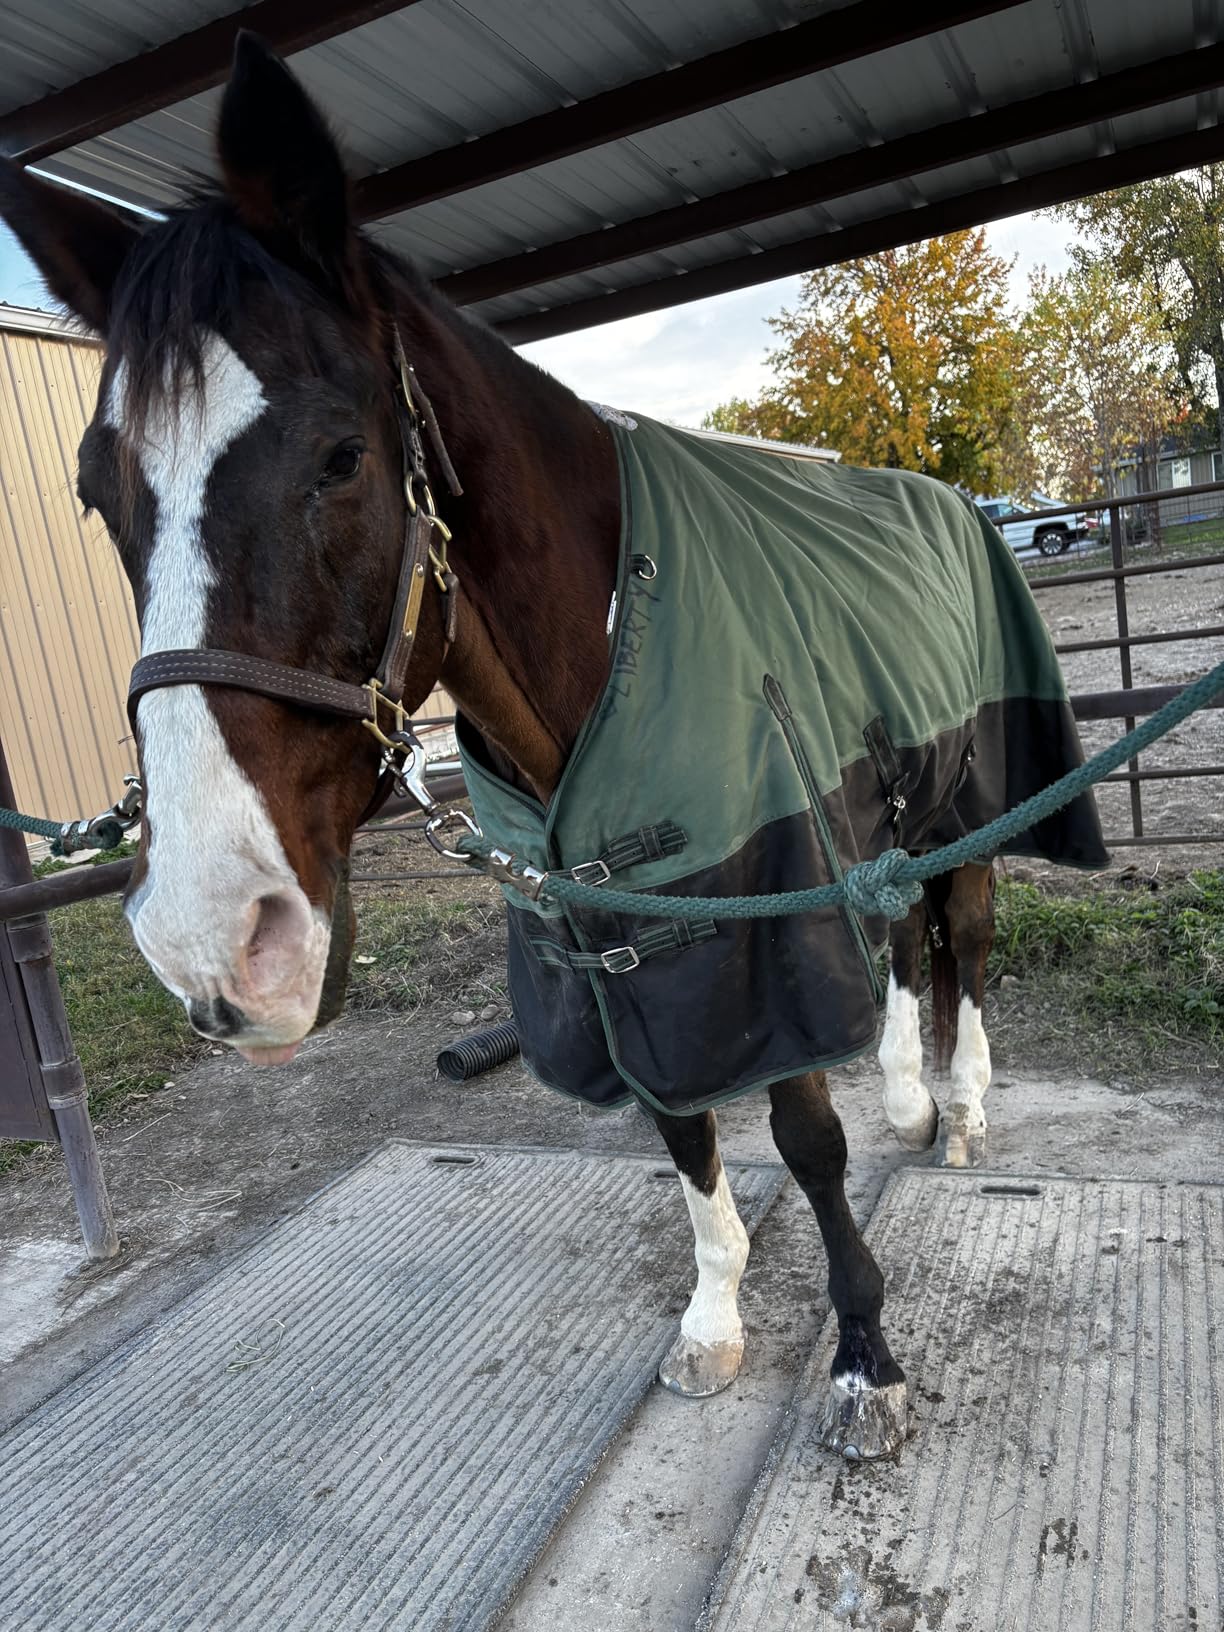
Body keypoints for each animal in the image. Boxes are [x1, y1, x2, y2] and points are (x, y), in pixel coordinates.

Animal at [0, 34, 1104, 1462]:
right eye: (97, 492)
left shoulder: (748, 919)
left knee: (963, 929)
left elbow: (804, 1137)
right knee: (910, 937)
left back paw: (959, 1109)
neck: (613, 640)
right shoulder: (609, 938)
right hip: (880, 804)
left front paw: (864, 1355)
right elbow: (679, 1123)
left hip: (969, 787)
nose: (211, 941)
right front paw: (714, 1316)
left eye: (342, 458)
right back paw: (915, 1095)